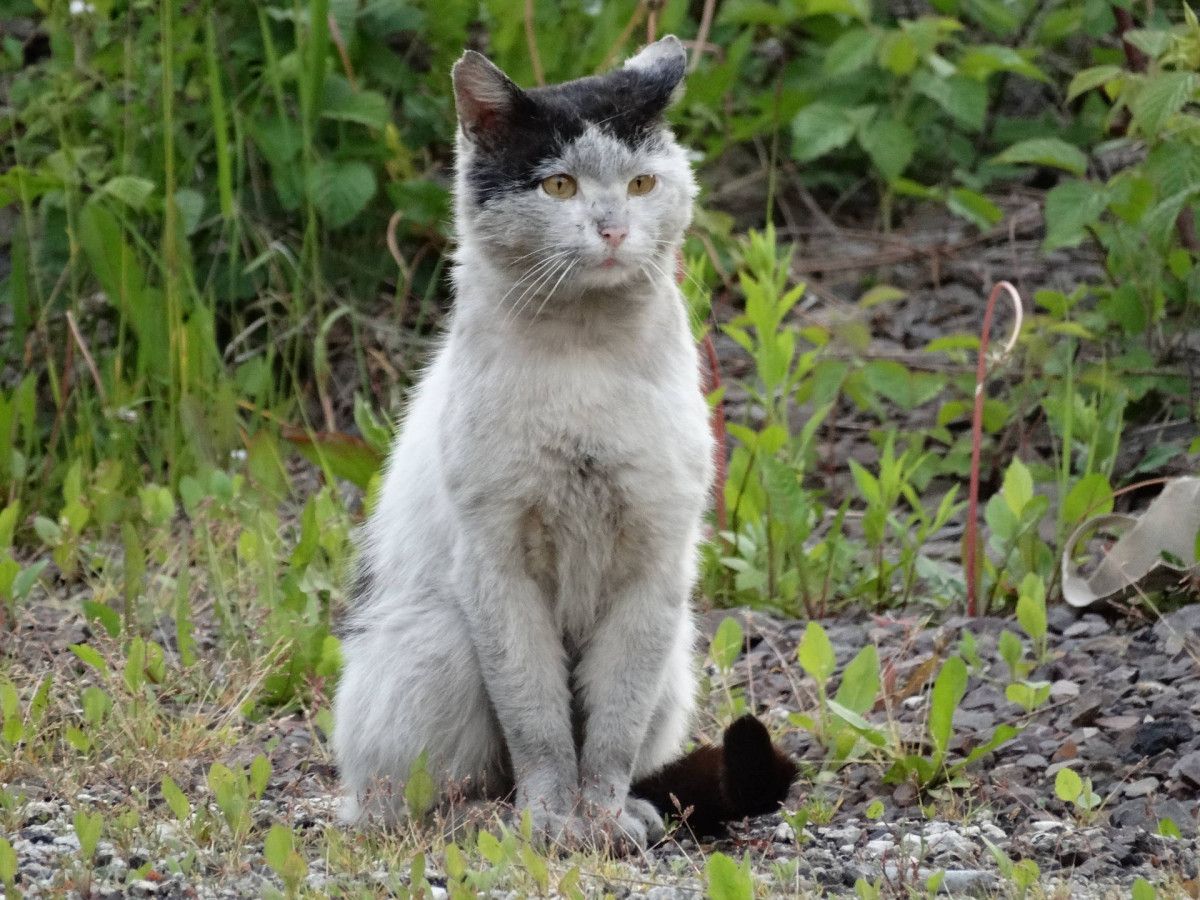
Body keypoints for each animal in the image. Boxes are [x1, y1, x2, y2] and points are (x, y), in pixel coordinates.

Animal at [333, 35, 792, 854]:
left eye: (641, 182)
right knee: (416, 798)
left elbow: (610, 730)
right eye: (558, 186)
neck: (584, 356)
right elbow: (539, 726)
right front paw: (551, 821)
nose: (611, 229)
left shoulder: (654, 569)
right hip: (441, 640)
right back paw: (487, 818)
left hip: (675, 653)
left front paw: (603, 820)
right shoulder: (499, 570)